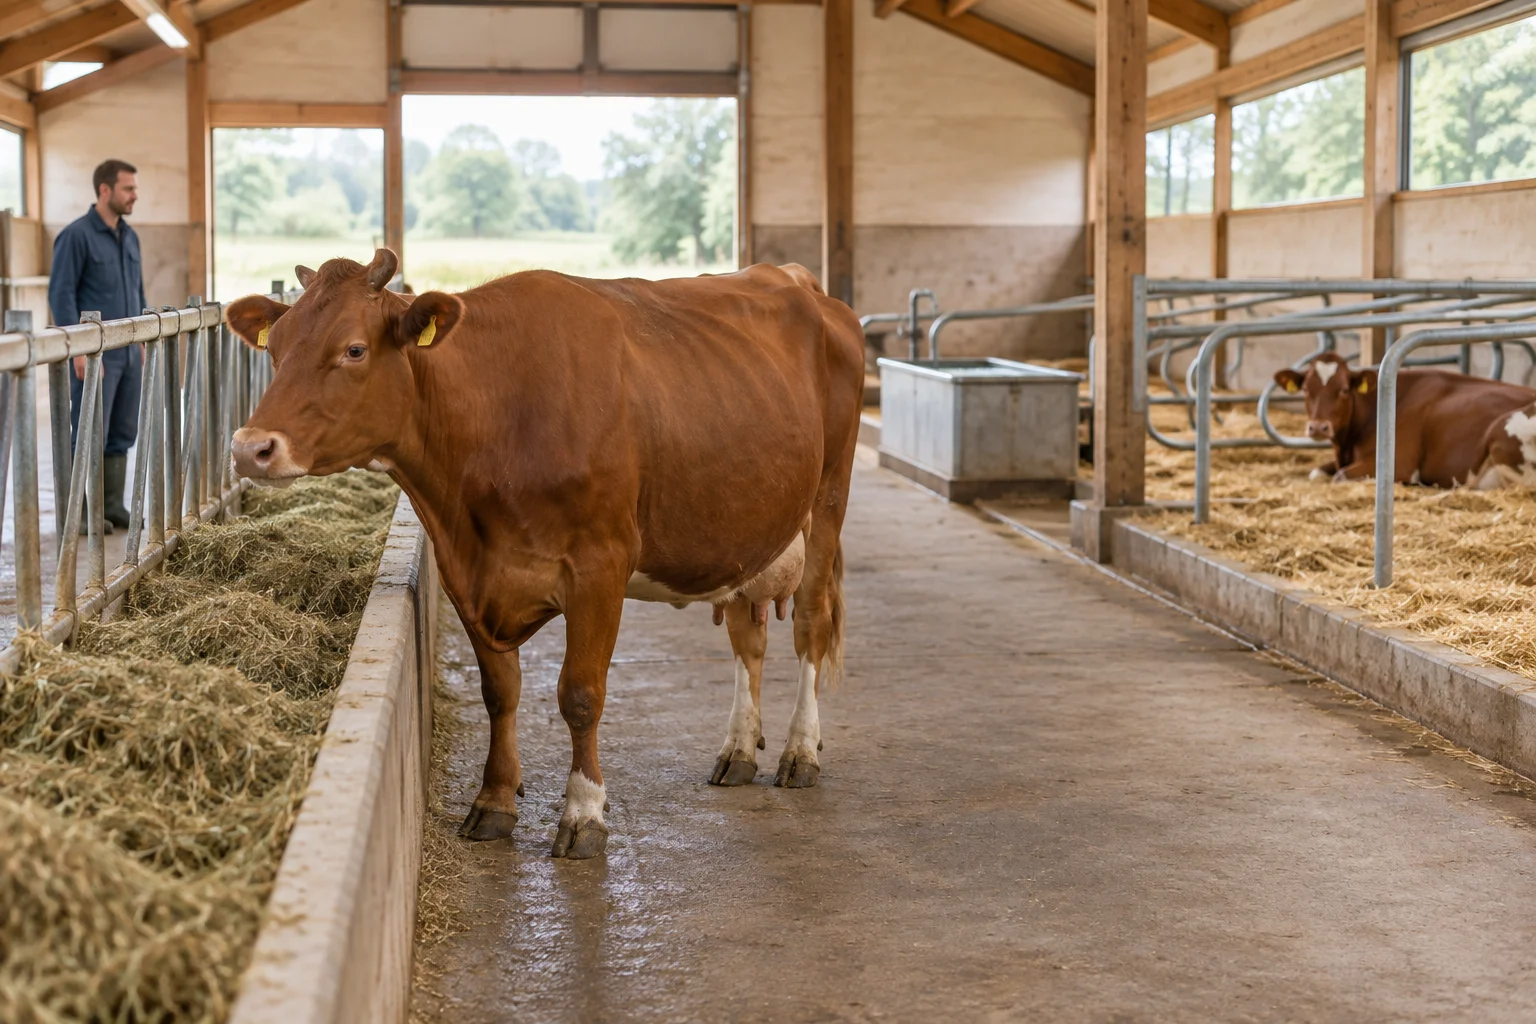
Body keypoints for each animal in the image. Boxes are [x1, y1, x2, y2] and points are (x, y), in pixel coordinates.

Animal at [225, 249, 864, 859]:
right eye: (275, 349)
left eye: (354, 349)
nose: (250, 447)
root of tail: (799, 280)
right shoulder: (467, 572)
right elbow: (500, 691)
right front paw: (494, 800)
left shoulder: (600, 567)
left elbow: (580, 695)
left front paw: (583, 812)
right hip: (743, 530)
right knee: (746, 636)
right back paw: (738, 750)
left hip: (828, 498)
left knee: (810, 625)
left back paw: (800, 752)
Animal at [1273, 351, 1536, 488]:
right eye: (1306, 389)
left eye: (1344, 390)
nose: (1318, 427)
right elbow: (1317, 472)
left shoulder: (1400, 464)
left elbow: (1339, 477)